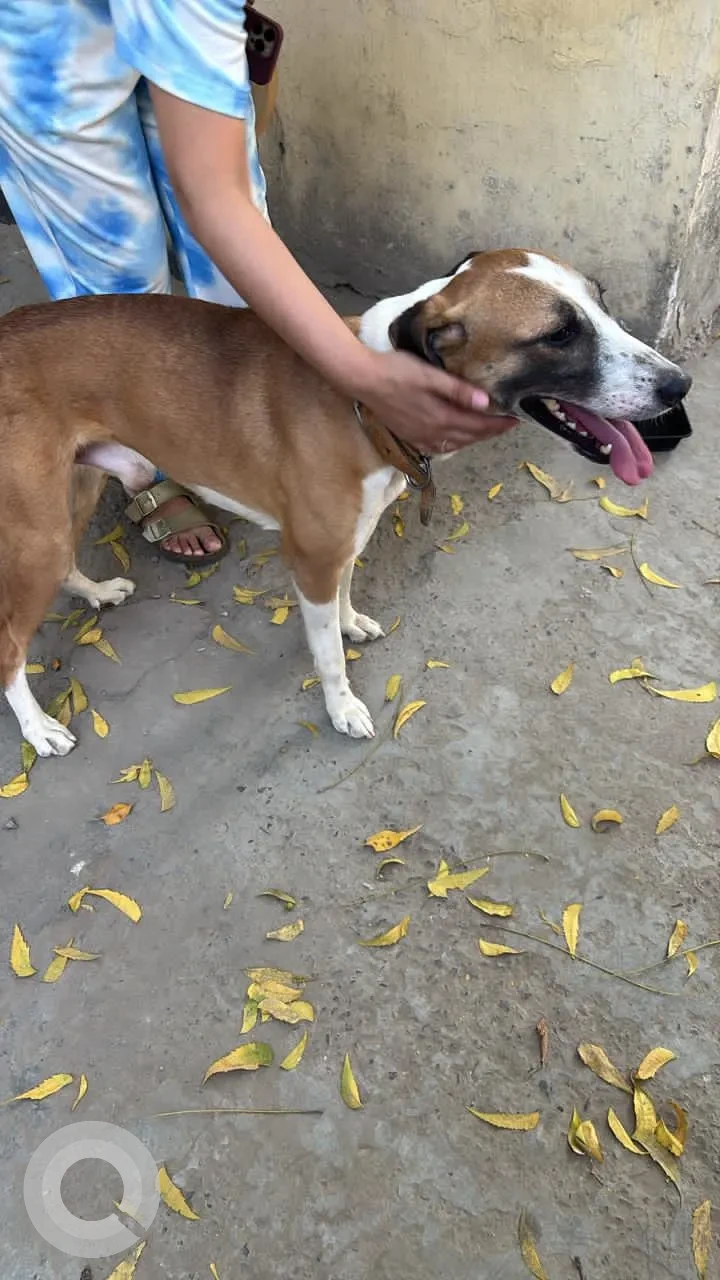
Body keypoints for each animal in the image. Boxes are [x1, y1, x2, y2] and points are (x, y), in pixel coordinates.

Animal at [0, 249, 690, 755]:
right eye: (558, 334)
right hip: (34, 532)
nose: (679, 385)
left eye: (601, 303)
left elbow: (345, 597)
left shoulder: (346, 541)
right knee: (10, 646)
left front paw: (352, 618)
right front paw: (343, 707)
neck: (365, 403)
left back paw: (96, 592)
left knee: (62, 568)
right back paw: (38, 728)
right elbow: (327, 652)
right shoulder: (310, 559)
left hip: (70, 498)